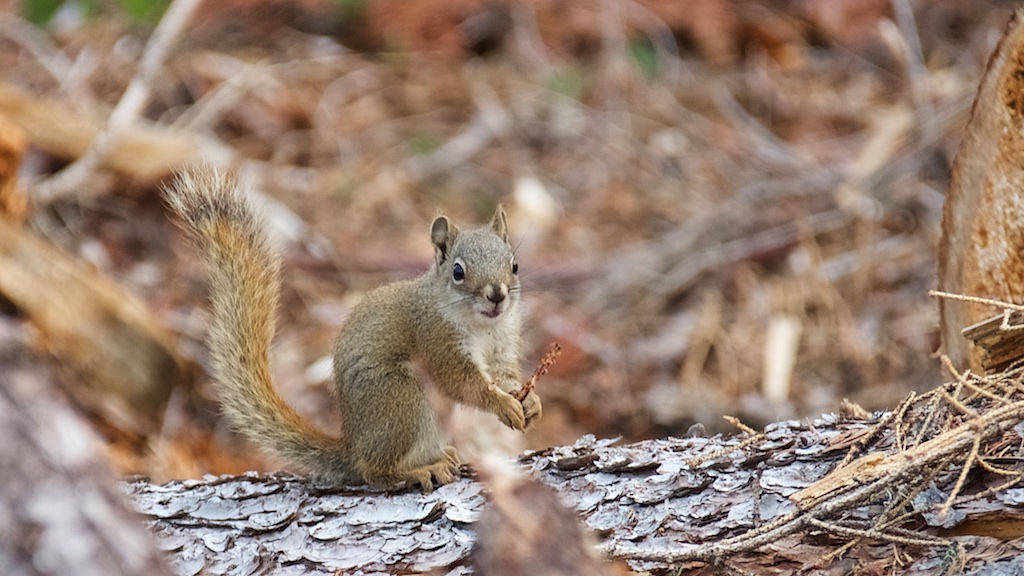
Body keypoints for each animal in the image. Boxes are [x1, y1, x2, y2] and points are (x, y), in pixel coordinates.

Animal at [163, 165, 540, 487]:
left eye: (515, 265)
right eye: (458, 272)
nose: (497, 295)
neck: (482, 326)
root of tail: (353, 445)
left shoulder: (502, 342)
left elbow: (504, 374)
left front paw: (529, 401)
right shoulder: (435, 339)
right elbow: (464, 384)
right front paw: (503, 405)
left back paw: (439, 457)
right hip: (400, 399)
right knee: (374, 472)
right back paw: (419, 471)